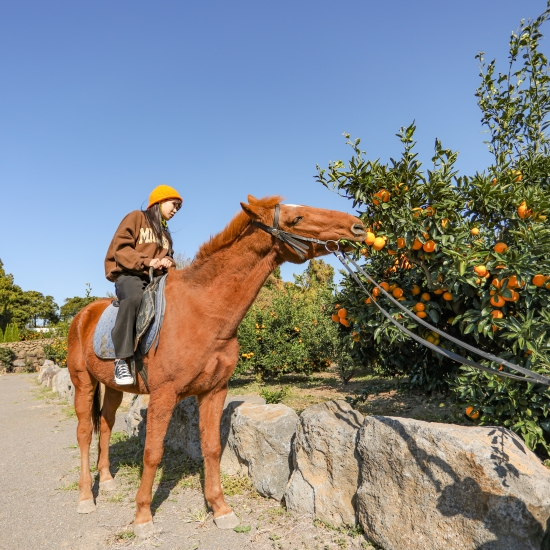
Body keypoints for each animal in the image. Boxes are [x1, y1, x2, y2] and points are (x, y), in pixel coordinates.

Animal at [68, 196, 366, 536]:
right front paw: (143, 516)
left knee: (105, 425)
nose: (358, 227)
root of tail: (82, 315)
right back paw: (86, 497)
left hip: (114, 387)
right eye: (297, 218)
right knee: (84, 433)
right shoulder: (163, 394)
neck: (204, 310)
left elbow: (211, 448)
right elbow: (153, 452)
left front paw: (220, 508)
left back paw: (105, 480)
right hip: (83, 382)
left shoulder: (214, 391)